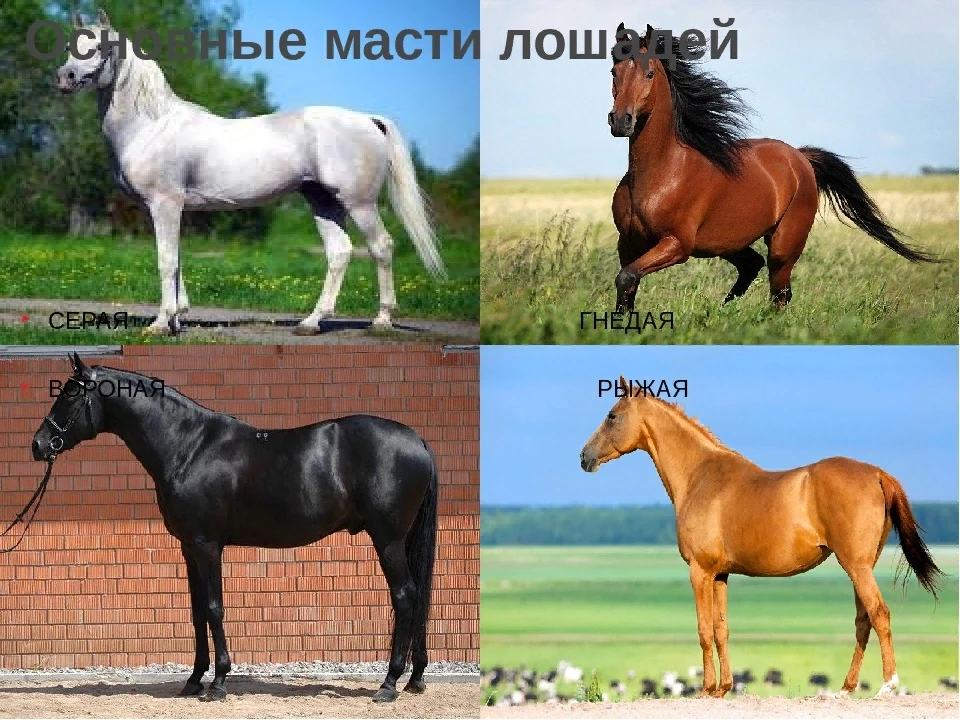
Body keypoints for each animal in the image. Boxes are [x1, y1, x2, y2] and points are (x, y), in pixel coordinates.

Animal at [30, 353, 438, 703]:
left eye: (69, 395)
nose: (38, 445)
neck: (189, 447)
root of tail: (417, 440)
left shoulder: (207, 544)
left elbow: (214, 608)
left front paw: (219, 682)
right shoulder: (188, 547)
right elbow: (197, 612)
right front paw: (194, 679)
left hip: (388, 540)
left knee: (405, 597)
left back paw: (389, 683)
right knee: (417, 598)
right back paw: (415, 678)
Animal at [55, 11, 446, 335]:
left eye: (101, 47)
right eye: (71, 46)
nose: (65, 77)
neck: (152, 125)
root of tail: (367, 119)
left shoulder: (164, 204)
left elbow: (166, 261)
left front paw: (161, 324)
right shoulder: (173, 209)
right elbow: (177, 259)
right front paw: (178, 318)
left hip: (360, 203)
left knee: (381, 247)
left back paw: (381, 320)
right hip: (323, 202)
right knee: (339, 253)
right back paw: (311, 322)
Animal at [579, 377, 943, 699]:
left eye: (612, 415)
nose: (584, 457)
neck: (700, 476)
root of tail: (879, 474)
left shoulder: (700, 572)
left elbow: (703, 630)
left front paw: (706, 689)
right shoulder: (720, 575)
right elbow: (721, 629)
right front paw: (723, 688)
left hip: (856, 566)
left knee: (879, 614)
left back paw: (888, 685)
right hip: (861, 567)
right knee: (863, 620)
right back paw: (846, 688)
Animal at [608, 24, 937, 313]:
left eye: (649, 73)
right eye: (614, 72)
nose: (620, 121)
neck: (662, 173)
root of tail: (800, 157)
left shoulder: (677, 244)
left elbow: (626, 278)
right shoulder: (629, 242)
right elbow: (627, 287)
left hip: (783, 245)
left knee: (779, 292)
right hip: (728, 242)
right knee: (754, 267)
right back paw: (724, 311)